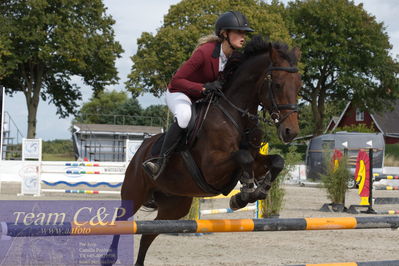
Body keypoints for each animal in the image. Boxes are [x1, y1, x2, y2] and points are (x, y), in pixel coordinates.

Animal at [101, 35, 302, 266]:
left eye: (299, 85)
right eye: (277, 84)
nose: (291, 132)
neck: (236, 115)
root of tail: (141, 150)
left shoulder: (256, 159)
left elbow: (276, 161)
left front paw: (257, 190)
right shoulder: (211, 169)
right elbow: (243, 157)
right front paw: (244, 194)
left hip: (175, 205)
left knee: (149, 234)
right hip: (134, 191)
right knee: (122, 220)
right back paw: (109, 257)